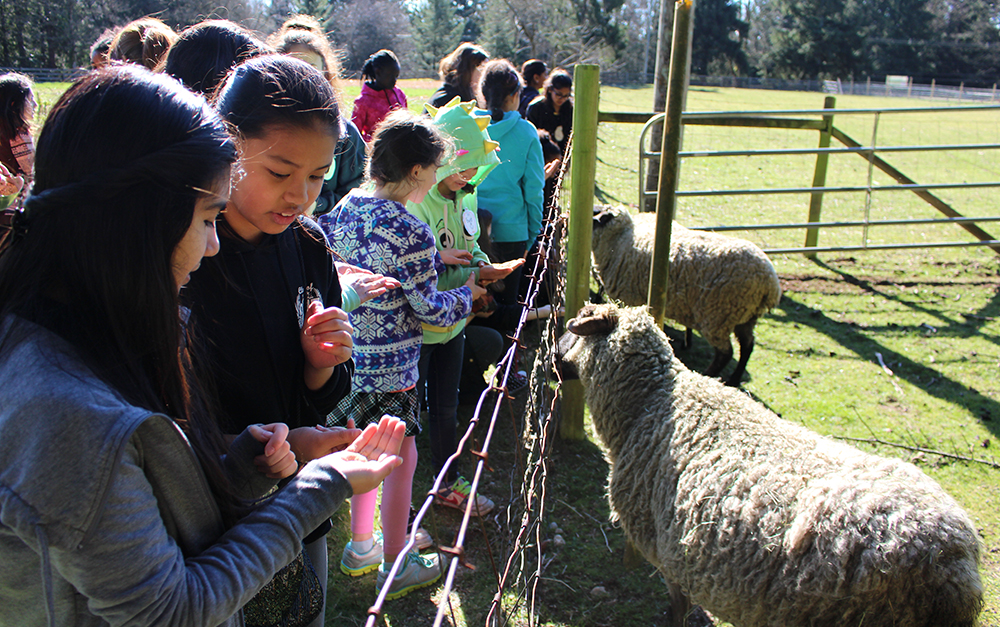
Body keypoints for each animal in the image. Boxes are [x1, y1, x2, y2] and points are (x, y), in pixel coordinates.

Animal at [556, 302, 984, 627]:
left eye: (574, 330)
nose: (551, 359)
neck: (650, 399)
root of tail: (953, 565)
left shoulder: (666, 552)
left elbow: (679, 605)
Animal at [590, 205, 782, 386]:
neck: (619, 240)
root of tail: (770, 283)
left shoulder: (630, 299)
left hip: (719, 315)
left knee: (726, 353)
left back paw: (709, 374)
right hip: (745, 317)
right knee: (747, 346)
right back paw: (734, 379)